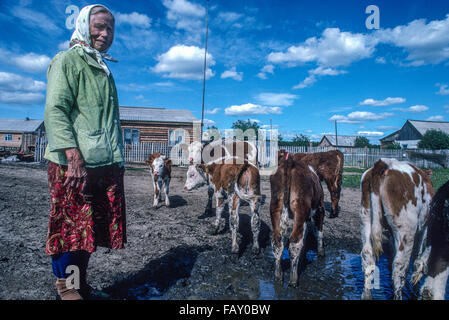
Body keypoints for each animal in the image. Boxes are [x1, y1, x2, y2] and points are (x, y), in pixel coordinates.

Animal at [268, 151, 324, 288]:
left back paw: (278, 275)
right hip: (300, 208)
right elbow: (319, 231)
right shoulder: (319, 209)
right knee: (294, 242)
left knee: (277, 242)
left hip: (275, 206)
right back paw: (293, 279)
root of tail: (289, 163)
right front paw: (321, 252)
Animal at [358, 159, 432, 302]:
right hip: (406, 229)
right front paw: (416, 288)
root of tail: (384, 164)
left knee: (367, 257)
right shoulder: (424, 228)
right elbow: (418, 260)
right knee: (399, 267)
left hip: (366, 219)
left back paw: (367, 294)